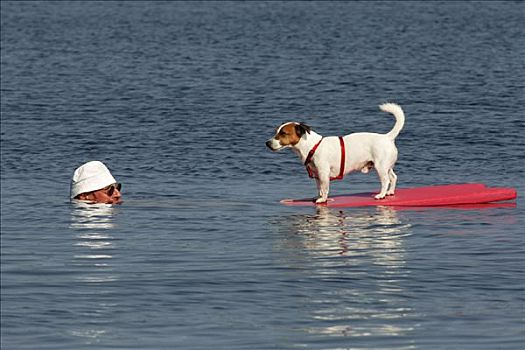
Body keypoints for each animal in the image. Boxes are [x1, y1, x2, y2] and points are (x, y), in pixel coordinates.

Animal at [266, 102, 406, 204]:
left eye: (283, 133)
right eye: (276, 131)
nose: (267, 143)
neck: (312, 146)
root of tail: (387, 137)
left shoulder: (323, 173)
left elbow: (325, 188)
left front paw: (322, 199)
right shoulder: (317, 174)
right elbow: (319, 188)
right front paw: (318, 196)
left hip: (380, 167)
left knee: (386, 180)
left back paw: (381, 195)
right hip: (387, 166)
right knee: (393, 177)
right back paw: (390, 192)